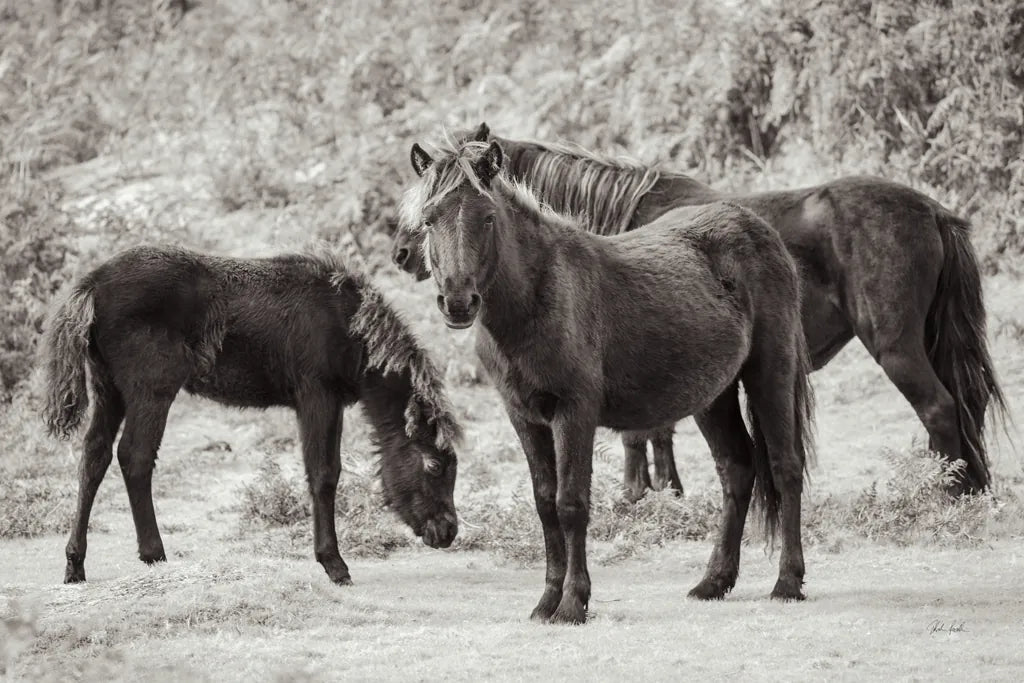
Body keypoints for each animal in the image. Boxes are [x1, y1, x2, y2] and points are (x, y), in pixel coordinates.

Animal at [40, 245, 462, 586]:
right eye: (434, 465)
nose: (448, 531)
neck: (349, 327)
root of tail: (92, 285)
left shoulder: (331, 402)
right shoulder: (316, 395)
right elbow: (324, 474)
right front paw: (334, 564)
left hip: (108, 388)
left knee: (94, 456)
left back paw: (75, 564)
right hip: (151, 389)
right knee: (135, 456)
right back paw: (153, 553)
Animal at [393, 122, 1007, 499]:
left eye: (479, 215)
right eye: (426, 209)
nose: (401, 255)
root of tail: (931, 209)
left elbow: (642, 432)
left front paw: (640, 492)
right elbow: (656, 428)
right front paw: (664, 488)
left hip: (895, 346)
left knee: (939, 410)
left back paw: (944, 492)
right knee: (962, 409)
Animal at [401, 138, 815, 624]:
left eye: (486, 216)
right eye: (430, 219)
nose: (458, 303)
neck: (538, 297)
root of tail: (757, 227)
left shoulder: (574, 413)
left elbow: (571, 504)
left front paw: (573, 603)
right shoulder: (525, 418)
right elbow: (545, 505)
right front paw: (546, 602)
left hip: (770, 372)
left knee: (786, 467)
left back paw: (787, 582)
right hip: (715, 395)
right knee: (736, 469)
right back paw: (713, 582)